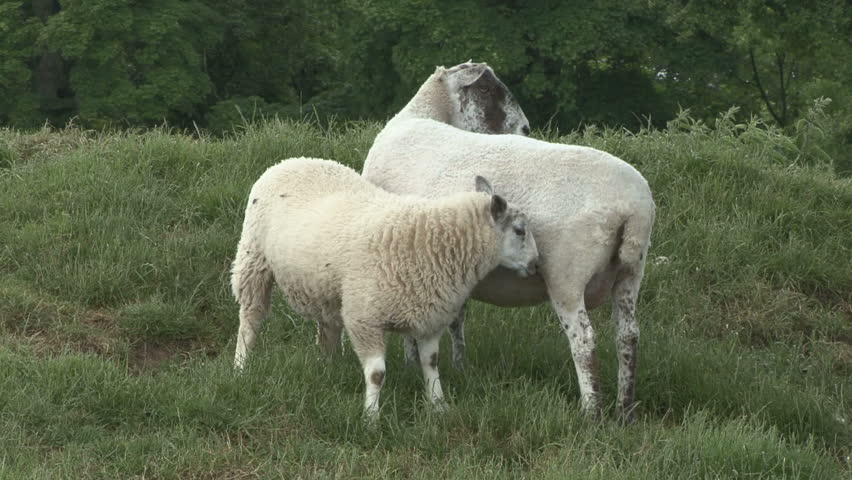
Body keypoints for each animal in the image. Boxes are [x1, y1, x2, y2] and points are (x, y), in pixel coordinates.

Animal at [230, 157, 539, 420]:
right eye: (520, 230)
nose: (536, 264)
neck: (432, 241)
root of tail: (292, 161)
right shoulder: (365, 317)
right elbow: (377, 373)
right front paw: (371, 418)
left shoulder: (429, 317)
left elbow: (432, 363)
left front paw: (438, 406)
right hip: (254, 259)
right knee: (251, 319)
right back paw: (241, 366)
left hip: (324, 288)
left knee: (327, 328)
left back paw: (329, 365)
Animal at [362, 61, 656, 422]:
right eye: (487, 89)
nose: (526, 128)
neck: (423, 114)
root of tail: (633, 208)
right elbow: (455, 318)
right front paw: (458, 366)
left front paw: (413, 361)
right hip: (631, 270)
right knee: (628, 336)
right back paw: (625, 410)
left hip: (567, 274)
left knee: (584, 340)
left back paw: (591, 411)